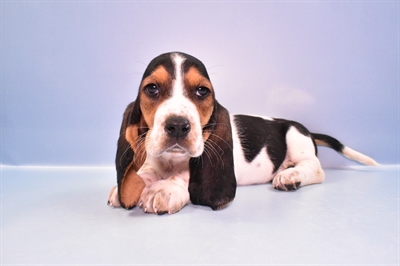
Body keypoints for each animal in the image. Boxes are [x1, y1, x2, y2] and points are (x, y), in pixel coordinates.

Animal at [107, 51, 378, 214]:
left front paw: (163, 189)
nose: (177, 126)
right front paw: (136, 184)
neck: (173, 161)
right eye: (151, 89)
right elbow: (149, 171)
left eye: (202, 91)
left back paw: (291, 176)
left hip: (295, 135)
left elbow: (184, 176)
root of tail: (308, 131)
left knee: (316, 168)